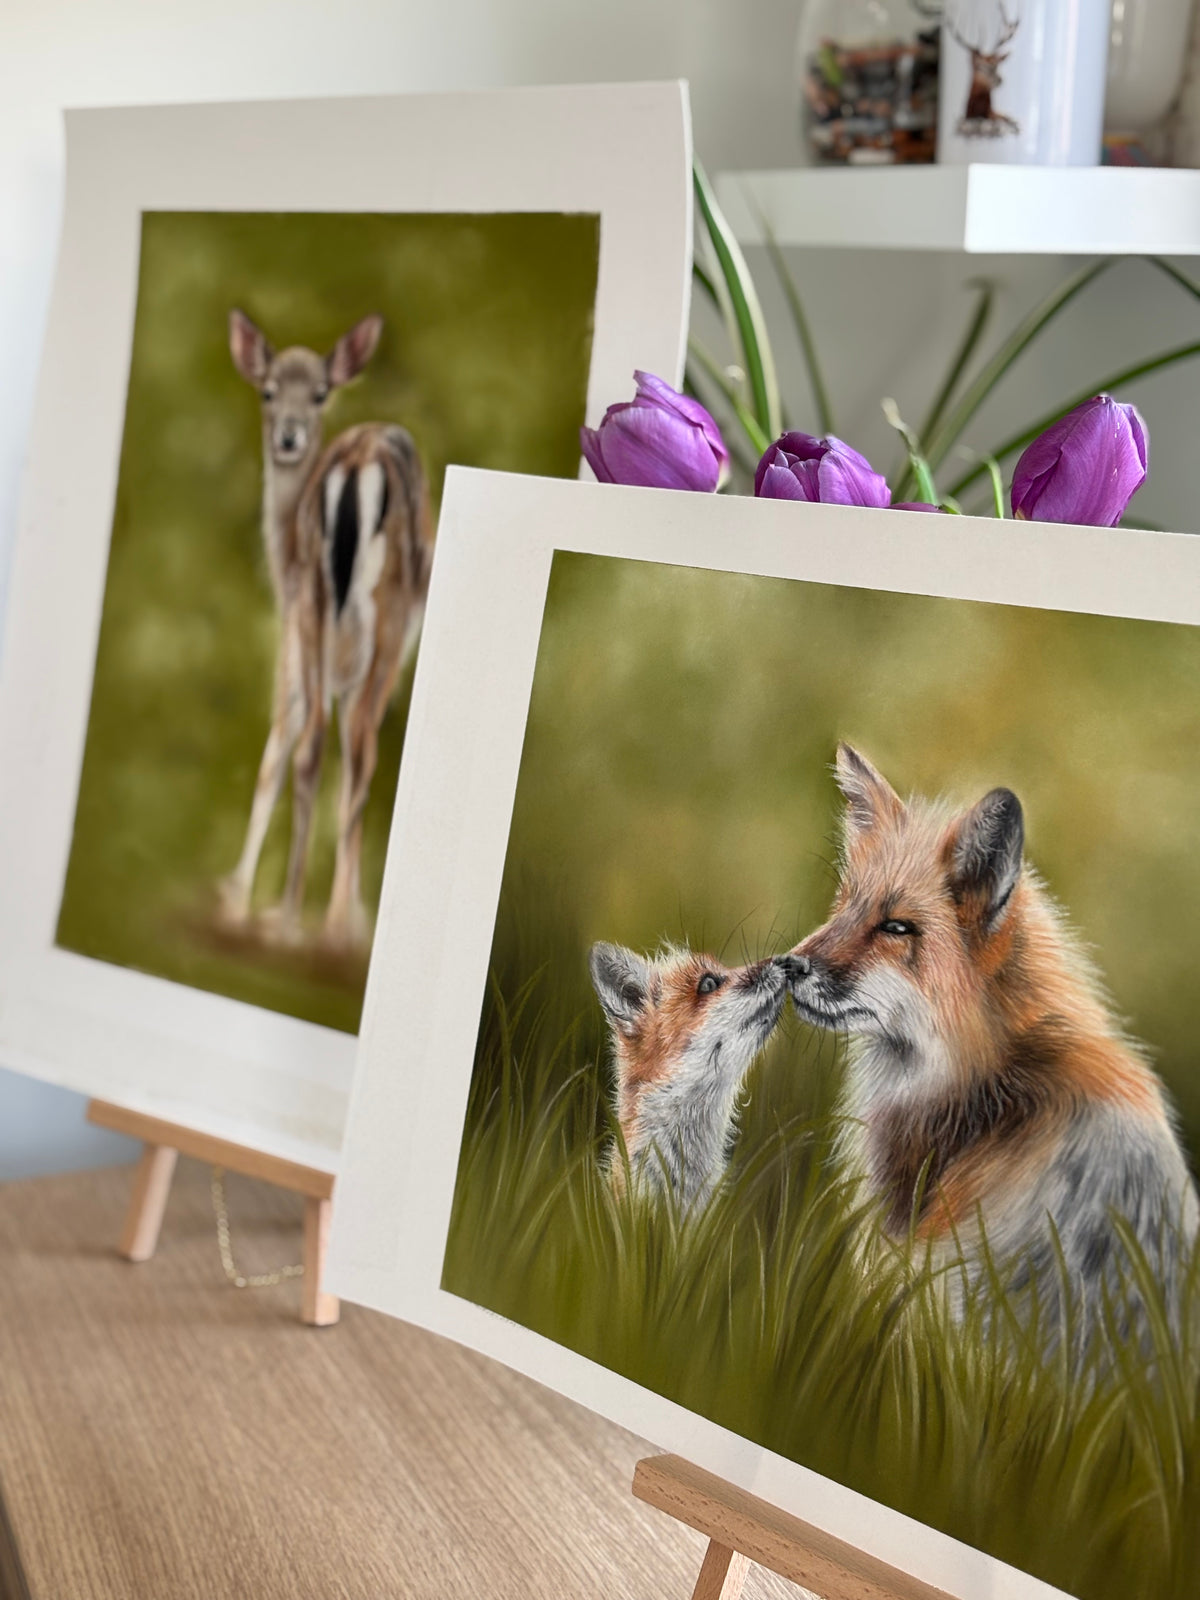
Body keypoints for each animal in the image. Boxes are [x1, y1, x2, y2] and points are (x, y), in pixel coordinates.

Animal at [222, 310, 433, 947]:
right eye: (267, 391)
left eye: (319, 392)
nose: (288, 438)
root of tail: (358, 463)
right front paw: (236, 898)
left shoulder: (299, 617)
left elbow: (284, 739)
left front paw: (236, 898)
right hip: (378, 619)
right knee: (354, 745)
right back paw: (325, 919)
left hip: (327, 607)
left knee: (322, 741)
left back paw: (299, 914)